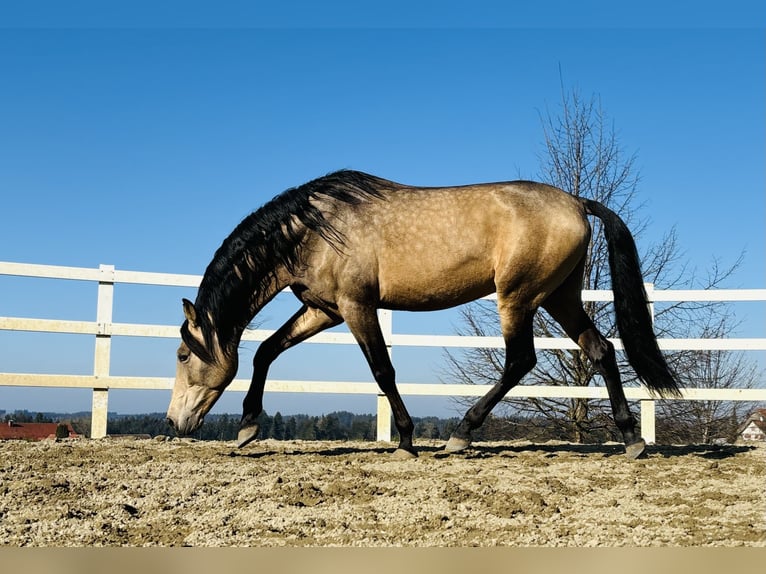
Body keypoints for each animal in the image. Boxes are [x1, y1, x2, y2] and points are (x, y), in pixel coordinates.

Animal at [165, 169, 680, 462]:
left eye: (182, 355)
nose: (173, 423)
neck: (313, 230)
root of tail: (577, 202)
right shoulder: (323, 310)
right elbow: (266, 352)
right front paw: (247, 428)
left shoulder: (356, 307)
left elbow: (382, 370)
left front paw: (407, 440)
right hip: (560, 297)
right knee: (600, 349)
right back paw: (632, 440)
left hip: (518, 297)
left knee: (521, 360)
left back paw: (461, 436)